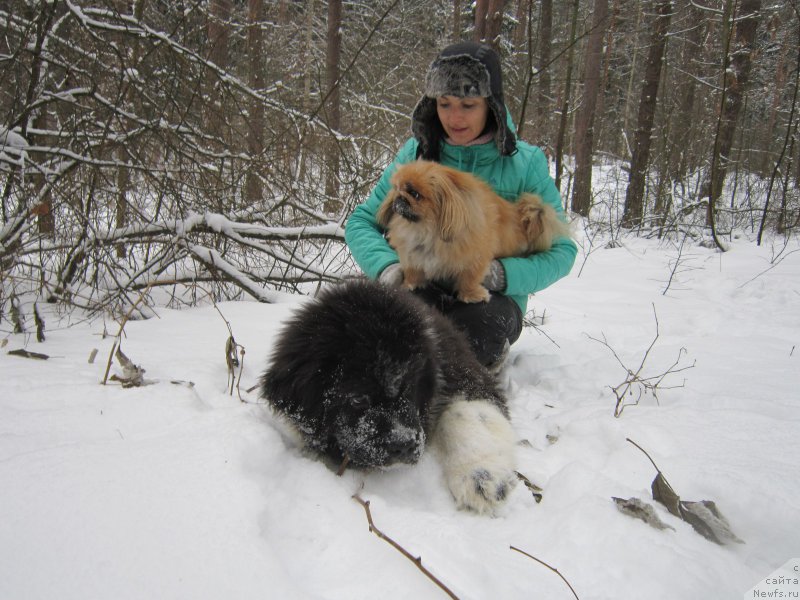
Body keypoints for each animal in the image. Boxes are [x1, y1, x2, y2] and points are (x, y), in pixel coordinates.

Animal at [260, 278, 516, 512]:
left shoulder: (464, 374)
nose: (403, 444)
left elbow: (467, 412)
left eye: (410, 388)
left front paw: (482, 477)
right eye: (357, 399)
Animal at [376, 159, 568, 302]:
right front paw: (409, 285)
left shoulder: (475, 258)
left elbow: (469, 278)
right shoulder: (412, 256)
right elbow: (413, 272)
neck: (425, 229)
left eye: (415, 194)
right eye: (396, 188)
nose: (399, 198)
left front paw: (472, 295)